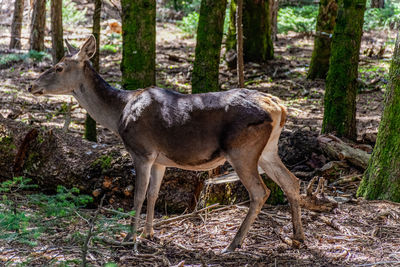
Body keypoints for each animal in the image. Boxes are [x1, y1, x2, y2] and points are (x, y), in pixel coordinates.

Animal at [29, 35, 306, 253]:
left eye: (58, 67)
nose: (32, 85)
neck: (118, 114)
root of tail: (279, 107)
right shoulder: (160, 159)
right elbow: (153, 194)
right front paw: (148, 234)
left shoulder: (141, 150)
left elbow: (139, 194)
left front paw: (128, 237)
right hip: (268, 150)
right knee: (291, 181)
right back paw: (298, 237)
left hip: (242, 150)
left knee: (260, 191)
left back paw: (233, 243)